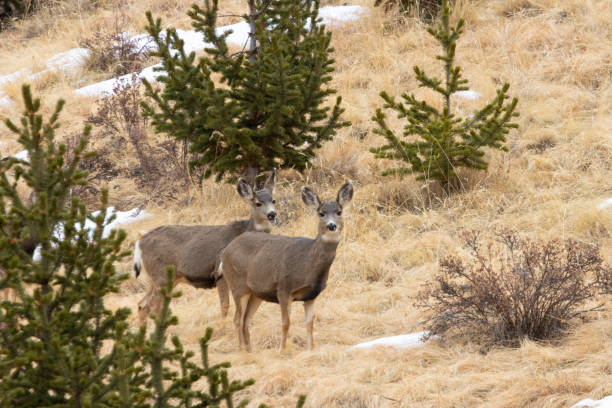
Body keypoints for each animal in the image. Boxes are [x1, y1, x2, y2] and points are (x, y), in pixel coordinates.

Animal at [135, 169, 278, 322]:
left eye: (273, 200)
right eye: (258, 203)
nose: (272, 214)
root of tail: (140, 242)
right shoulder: (219, 272)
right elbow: (225, 305)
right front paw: (223, 324)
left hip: (161, 278)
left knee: (142, 304)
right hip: (161, 275)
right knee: (152, 305)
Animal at [220, 181, 354, 350]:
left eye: (339, 212)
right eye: (321, 213)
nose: (331, 226)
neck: (308, 264)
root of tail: (225, 251)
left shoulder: (311, 295)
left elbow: (310, 324)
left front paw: (311, 349)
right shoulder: (284, 288)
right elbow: (286, 323)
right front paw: (282, 350)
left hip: (256, 293)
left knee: (245, 320)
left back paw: (250, 350)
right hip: (238, 285)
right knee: (237, 319)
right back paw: (242, 350)